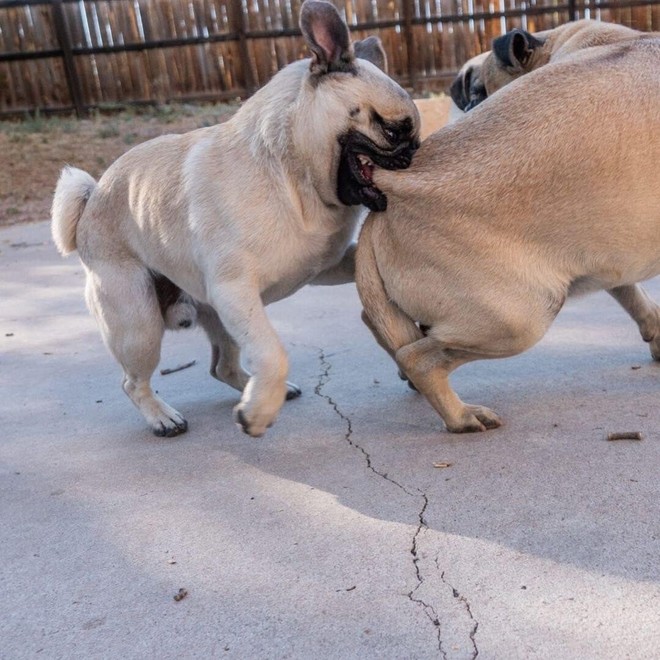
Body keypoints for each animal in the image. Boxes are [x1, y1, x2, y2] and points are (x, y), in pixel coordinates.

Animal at [51, 0, 418, 438]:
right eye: (393, 131)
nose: (414, 152)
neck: (296, 180)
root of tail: (92, 198)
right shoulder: (237, 293)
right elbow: (273, 352)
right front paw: (258, 413)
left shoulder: (322, 268)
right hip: (138, 324)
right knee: (132, 381)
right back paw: (163, 417)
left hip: (218, 318)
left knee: (221, 366)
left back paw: (252, 391)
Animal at [356, 31, 660, 434]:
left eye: (479, 90)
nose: (468, 105)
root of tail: (390, 195)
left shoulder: (610, 255)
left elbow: (636, 297)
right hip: (524, 315)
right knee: (419, 357)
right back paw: (461, 416)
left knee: (385, 327)